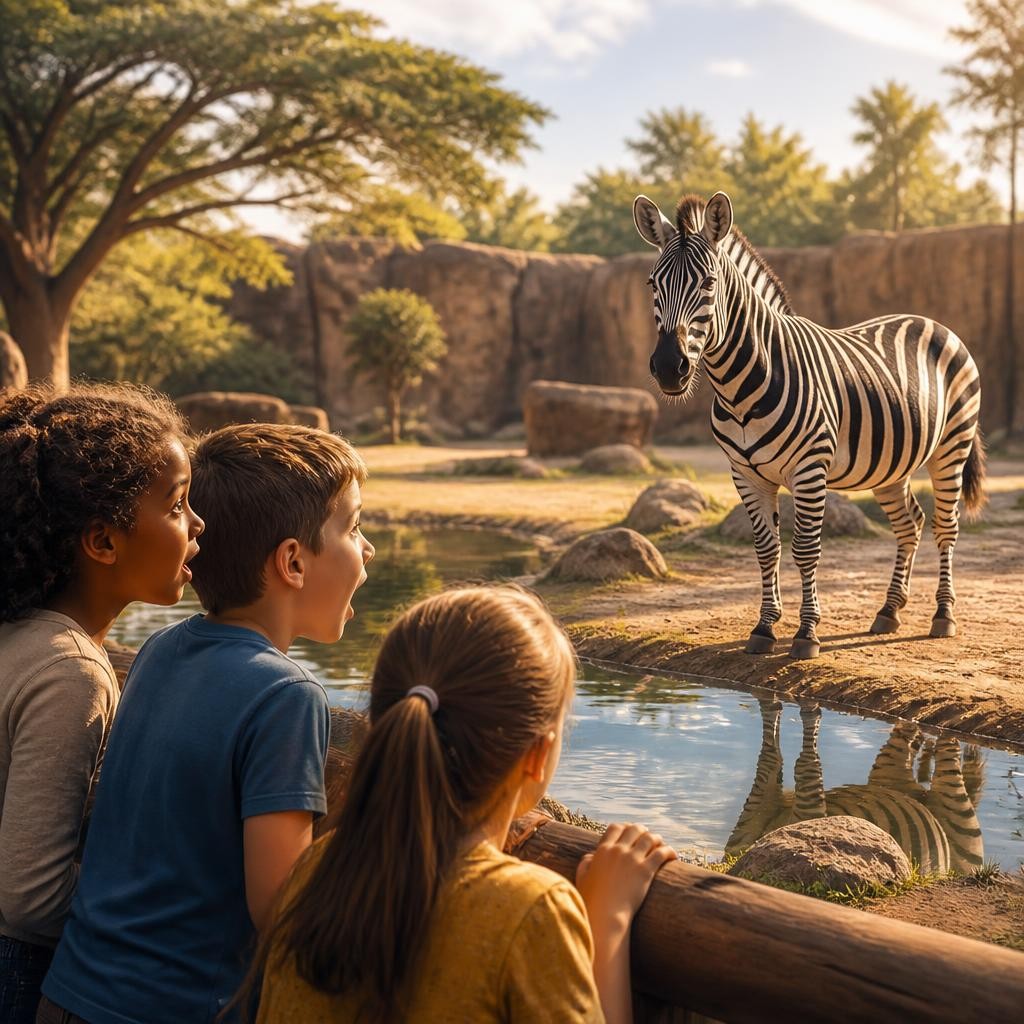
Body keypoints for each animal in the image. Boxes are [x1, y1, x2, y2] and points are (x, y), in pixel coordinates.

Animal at [633, 191, 986, 658]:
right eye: (652, 284)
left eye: (708, 284)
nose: (670, 368)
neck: (740, 386)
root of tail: (932, 322)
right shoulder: (744, 473)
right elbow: (767, 549)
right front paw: (764, 628)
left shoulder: (809, 469)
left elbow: (805, 549)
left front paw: (806, 633)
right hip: (891, 465)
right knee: (910, 522)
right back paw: (888, 611)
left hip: (951, 447)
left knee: (946, 527)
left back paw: (943, 615)